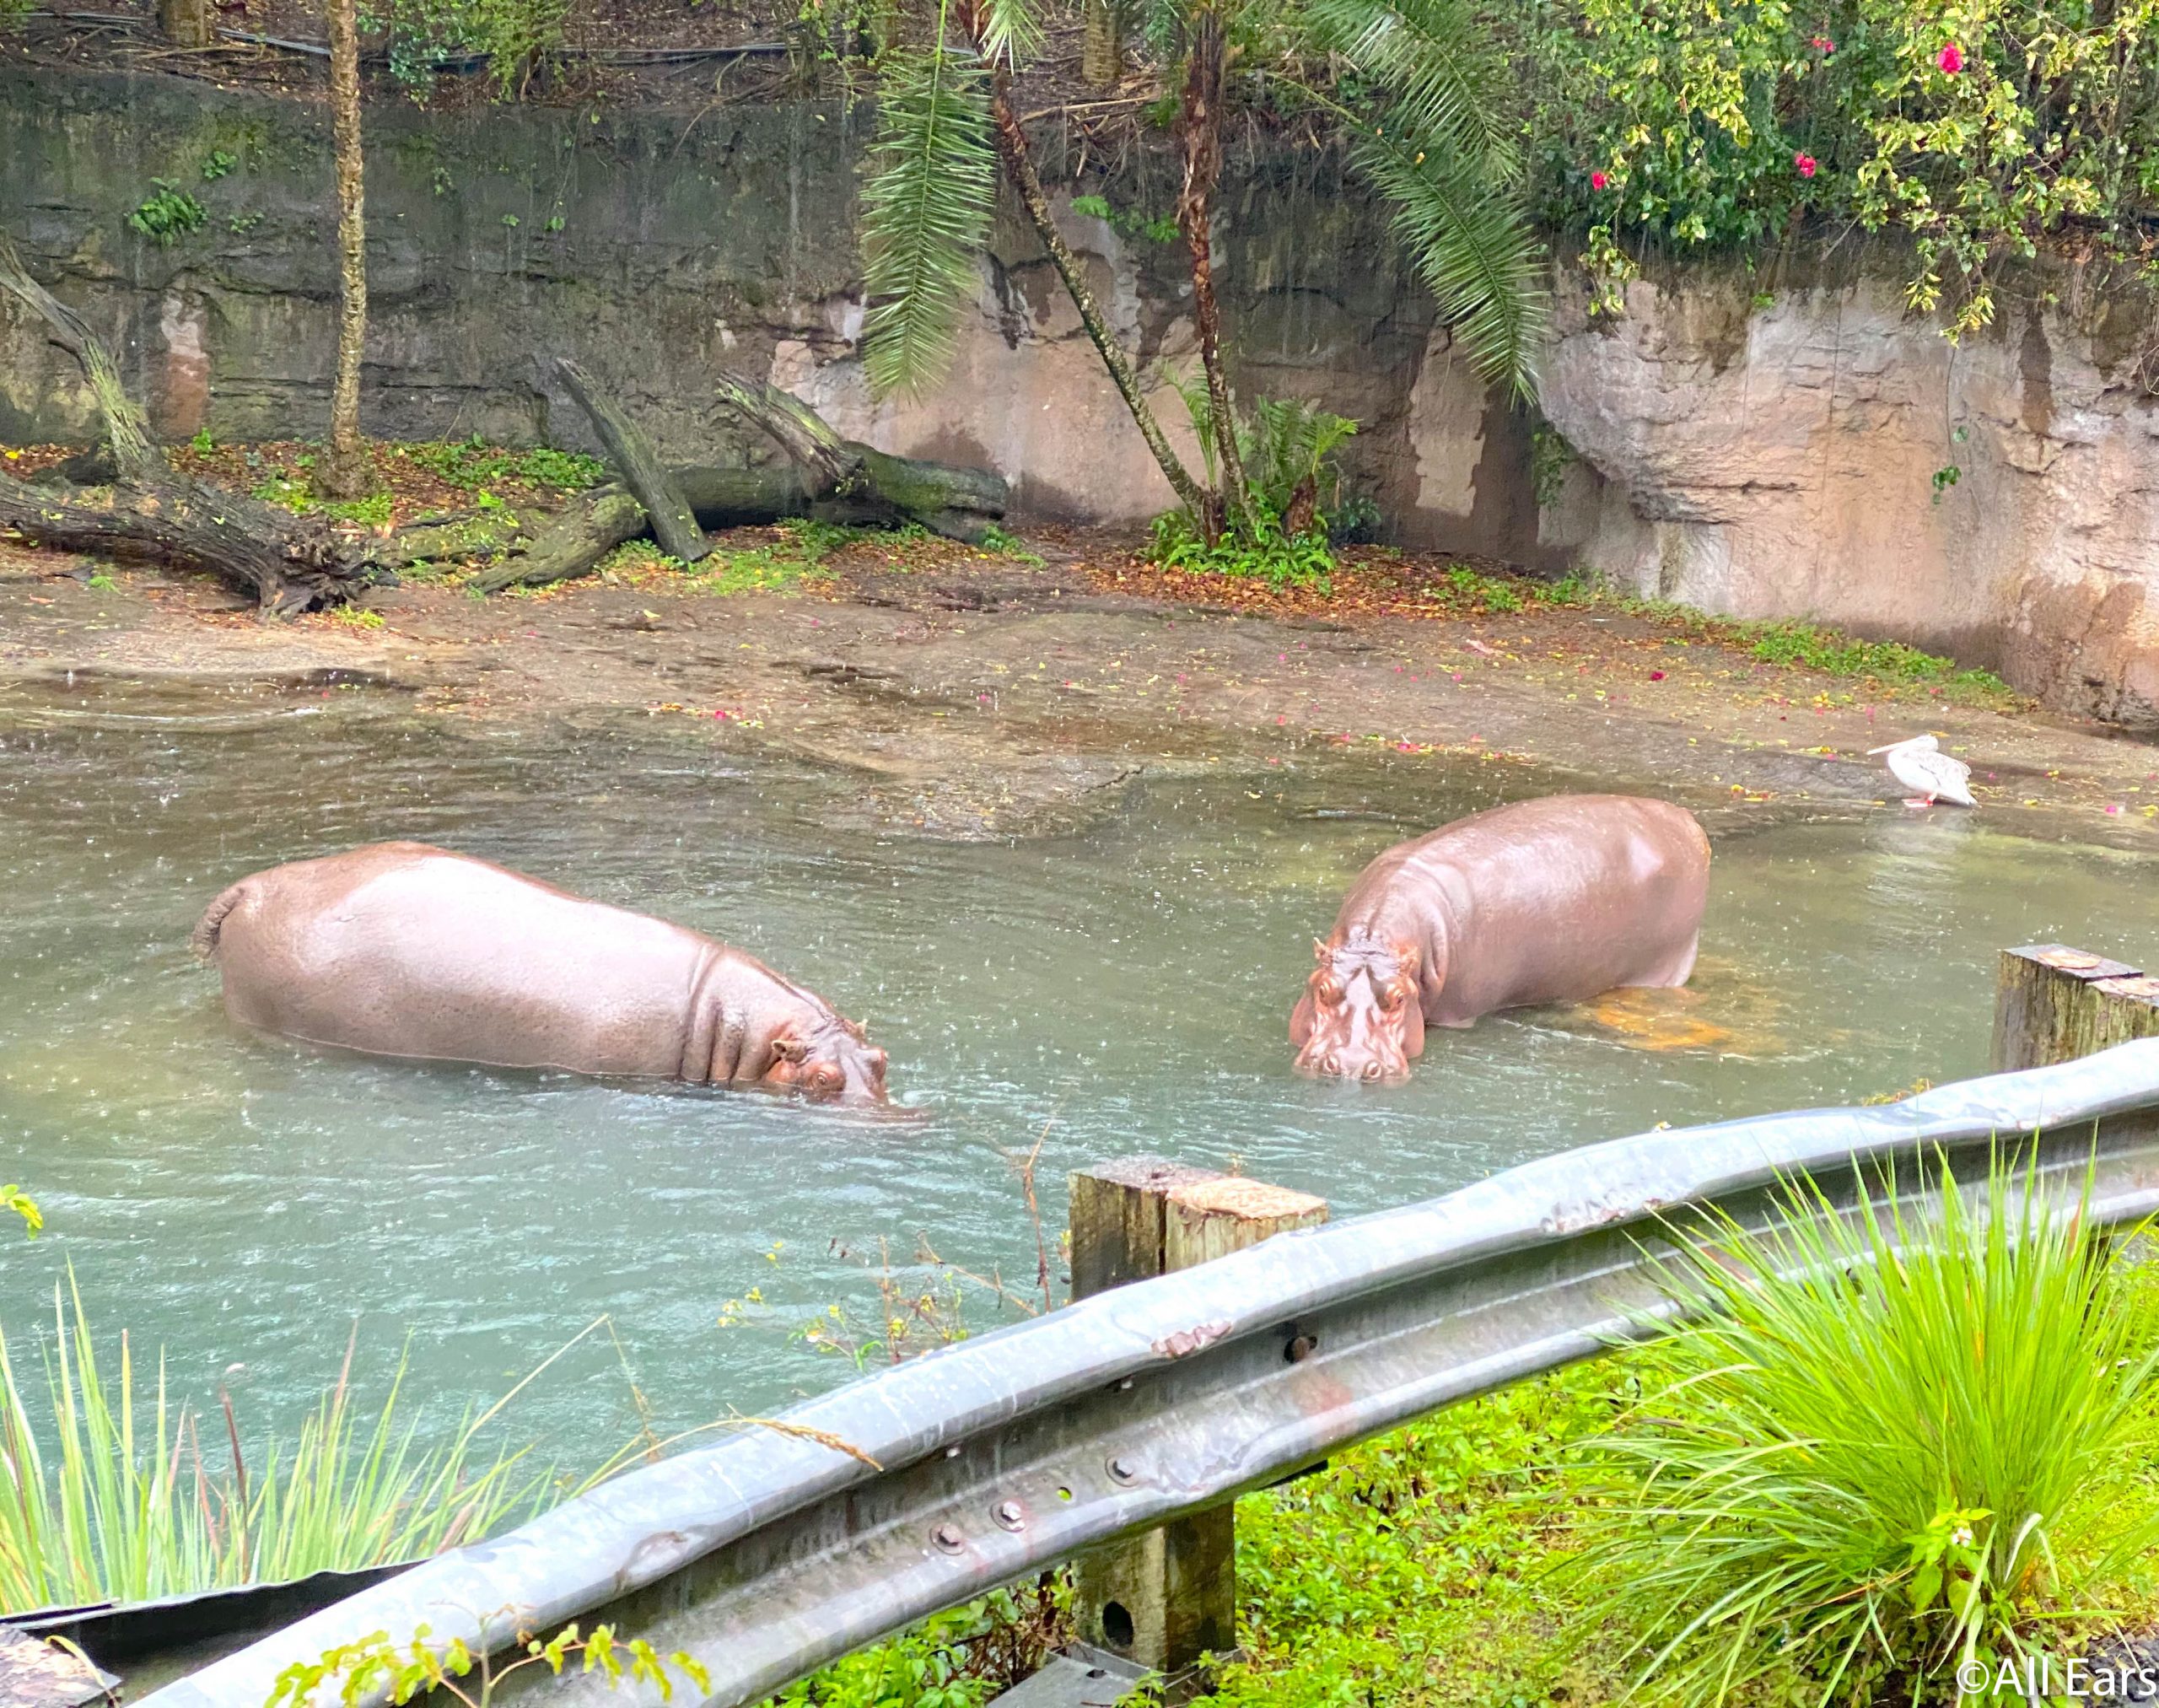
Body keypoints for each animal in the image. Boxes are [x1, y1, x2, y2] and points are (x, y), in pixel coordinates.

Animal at [1286, 799, 1709, 1084]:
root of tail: (1687, 822)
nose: (1351, 1064)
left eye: (1399, 999)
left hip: (1667, 965)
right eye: (1321, 989)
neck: (1374, 946)